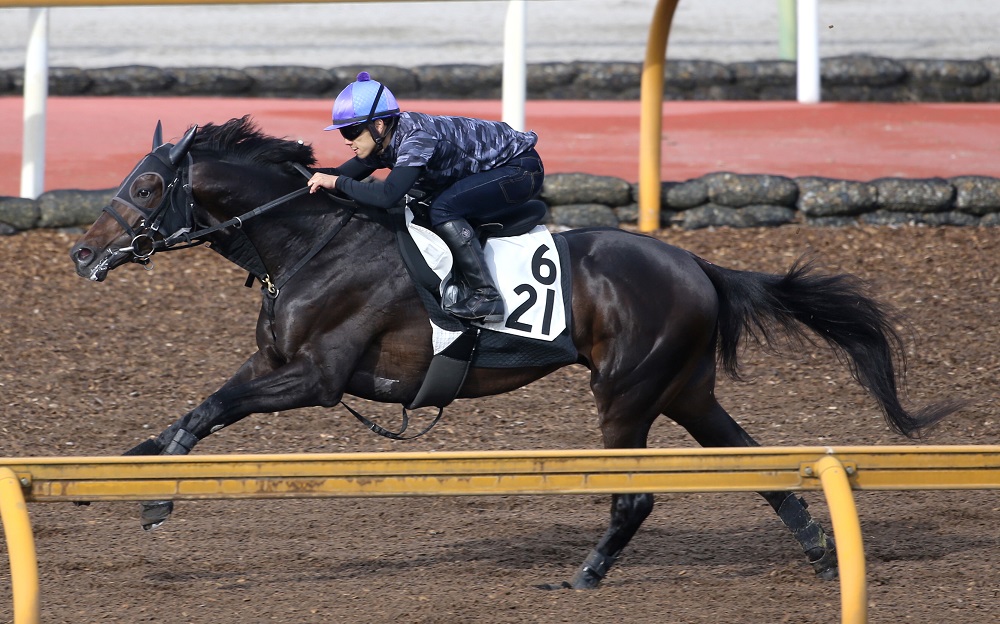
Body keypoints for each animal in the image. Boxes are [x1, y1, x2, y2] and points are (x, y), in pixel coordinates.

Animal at [66, 116, 956, 588]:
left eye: (147, 186)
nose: (80, 253)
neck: (313, 242)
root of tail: (698, 264)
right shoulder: (274, 364)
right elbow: (197, 409)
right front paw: (118, 477)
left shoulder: (315, 378)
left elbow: (212, 410)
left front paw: (154, 499)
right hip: (685, 390)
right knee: (757, 465)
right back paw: (820, 551)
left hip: (627, 393)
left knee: (637, 495)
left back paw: (588, 573)